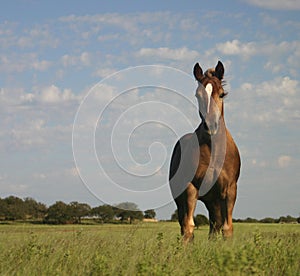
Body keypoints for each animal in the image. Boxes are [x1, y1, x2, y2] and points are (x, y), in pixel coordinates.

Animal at [170, 61, 240, 242]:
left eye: (222, 94)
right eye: (197, 95)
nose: (211, 125)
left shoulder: (230, 189)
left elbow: (227, 228)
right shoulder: (191, 187)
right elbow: (189, 226)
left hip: (213, 201)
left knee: (215, 226)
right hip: (183, 197)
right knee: (184, 224)